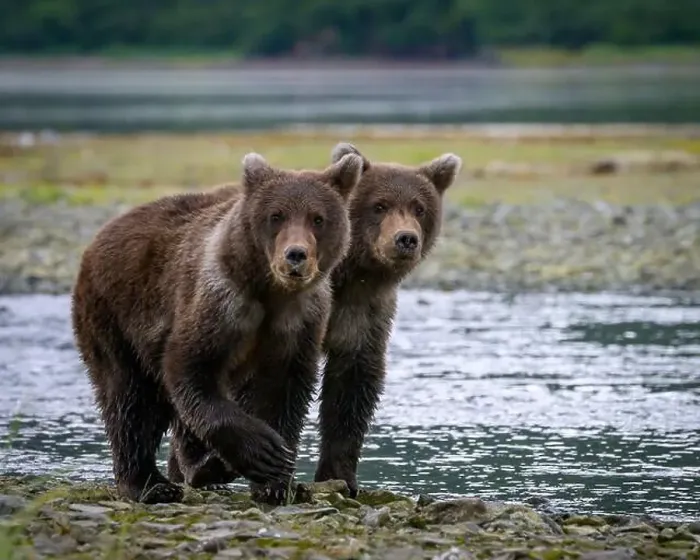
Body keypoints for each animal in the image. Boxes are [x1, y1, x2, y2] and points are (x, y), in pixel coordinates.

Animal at [70, 150, 363, 504]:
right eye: (276, 216)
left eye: (317, 219)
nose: (296, 255)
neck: (270, 291)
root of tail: (101, 235)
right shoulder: (221, 303)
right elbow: (191, 368)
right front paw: (262, 452)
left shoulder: (300, 320)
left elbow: (284, 391)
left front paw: (277, 482)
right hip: (115, 314)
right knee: (130, 398)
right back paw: (150, 483)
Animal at [166, 142, 462, 499]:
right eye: (380, 205)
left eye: (419, 208)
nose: (405, 239)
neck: (347, 274)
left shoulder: (360, 310)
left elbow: (351, 388)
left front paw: (341, 477)